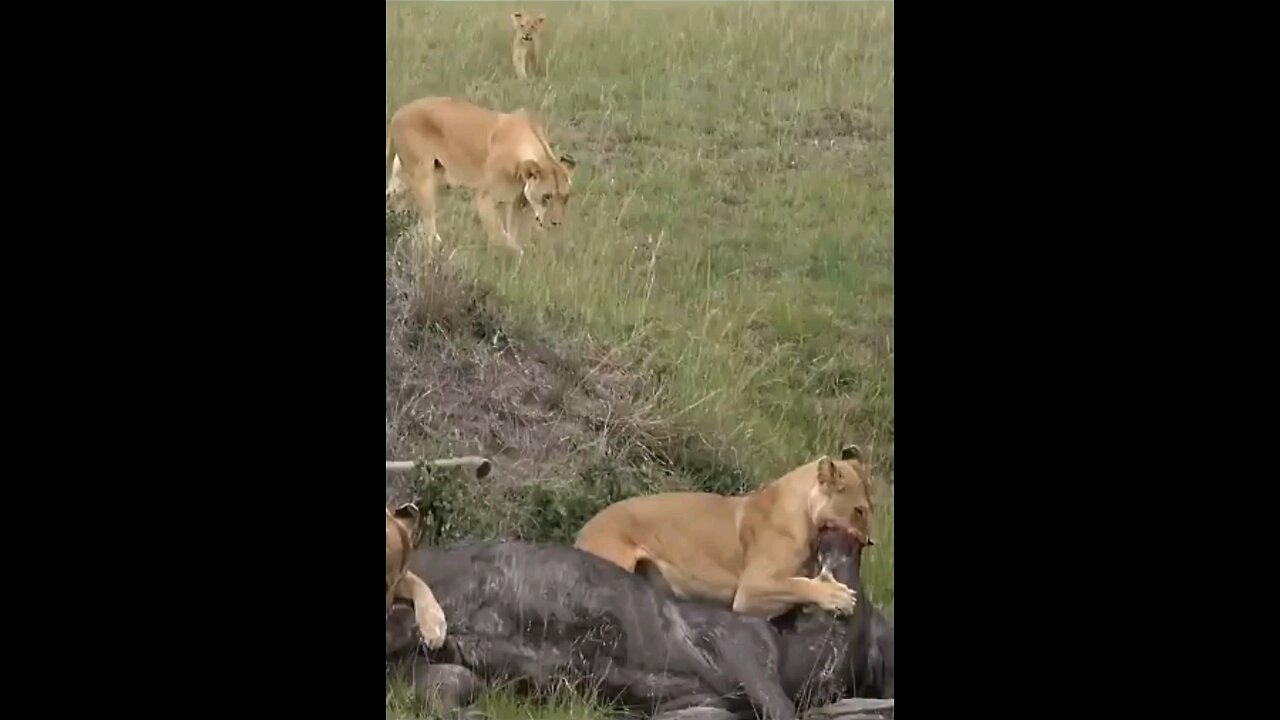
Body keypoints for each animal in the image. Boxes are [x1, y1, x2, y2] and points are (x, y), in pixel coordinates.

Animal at [384, 95, 576, 252]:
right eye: (547, 196)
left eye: (565, 198)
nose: (556, 223)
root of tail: (398, 113)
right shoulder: (486, 198)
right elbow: (500, 235)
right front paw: (513, 255)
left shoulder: (517, 203)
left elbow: (512, 232)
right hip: (422, 176)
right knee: (429, 221)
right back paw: (438, 246)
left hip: (406, 180)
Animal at [576, 443, 875, 617]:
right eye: (859, 511)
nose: (870, 542)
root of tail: (582, 532)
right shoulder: (750, 591)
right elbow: (796, 584)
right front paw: (837, 596)